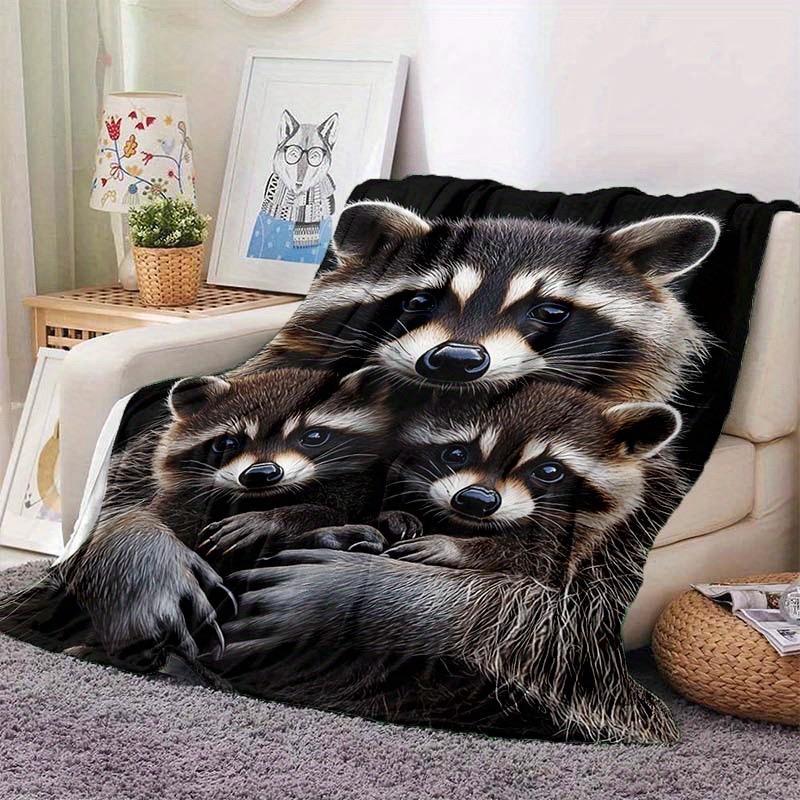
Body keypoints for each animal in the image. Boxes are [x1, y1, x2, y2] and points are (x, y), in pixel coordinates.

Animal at [207, 381, 685, 744]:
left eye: (548, 470)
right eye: (456, 453)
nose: (476, 500)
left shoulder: (622, 535)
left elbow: (554, 613)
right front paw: (391, 520)